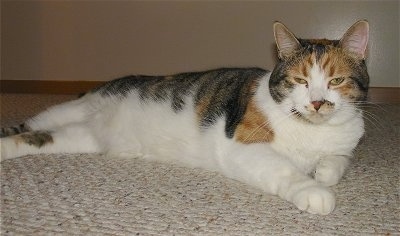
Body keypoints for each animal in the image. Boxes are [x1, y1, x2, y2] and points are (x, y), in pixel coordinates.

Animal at [0, 21, 368, 215]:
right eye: (300, 81)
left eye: (336, 80)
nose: (318, 103)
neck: (312, 132)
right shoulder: (242, 145)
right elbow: (285, 169)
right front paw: (313, 190)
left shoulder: (345, 144)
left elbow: (336, 162)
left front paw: (322, 172)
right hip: (65, 111)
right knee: (28, 125)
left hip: (78, 137)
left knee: (31, 138)